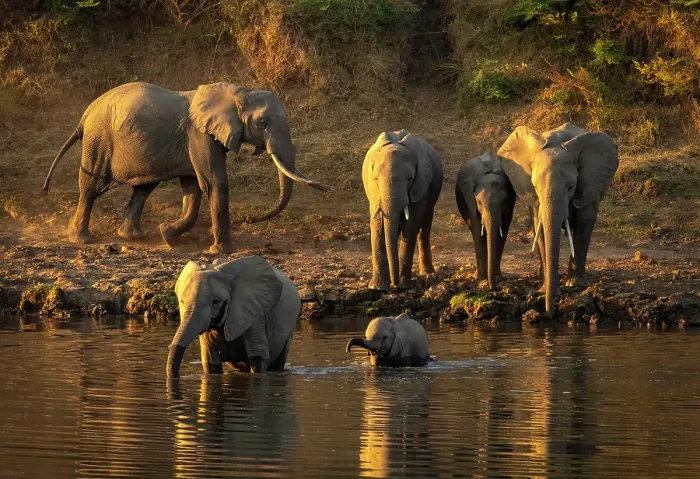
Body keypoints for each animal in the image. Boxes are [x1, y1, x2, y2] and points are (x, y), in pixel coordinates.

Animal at [41, 82, 329, 253]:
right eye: (263, 124)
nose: (250, 219)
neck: (237, 92)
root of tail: (84, 116)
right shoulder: (199, 135)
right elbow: (214, 182)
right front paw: (222, 252)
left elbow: (193, 187)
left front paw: (168, 235)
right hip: (99, 140)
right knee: (92, 187)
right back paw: (83, 239)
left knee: (143, 188)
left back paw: (133, 237)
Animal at [362, 130, 443, 290]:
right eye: (375, 179)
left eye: (410, 178)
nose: (395, 284)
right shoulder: (374, 193)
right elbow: (377, 224)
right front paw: (378, 288)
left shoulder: (420, 186)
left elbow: (411, 224)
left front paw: (404, 286)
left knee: (425, 227)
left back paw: (428, 274)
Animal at [455, 150, 516, 289]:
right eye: (478, 202)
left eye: (504, 202)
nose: (493, 288)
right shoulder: (470, 200)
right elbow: (478, 230)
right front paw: (482, 282)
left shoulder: (511, 200)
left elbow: (504, 229)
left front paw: (498, 278)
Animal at [497, 122, 619, 315]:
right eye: (535, 186)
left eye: (570, 187)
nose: (549, 313)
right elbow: (540, 229)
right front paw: (545, 290)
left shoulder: (588, 185)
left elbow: (584, 223)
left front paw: (575, 285)